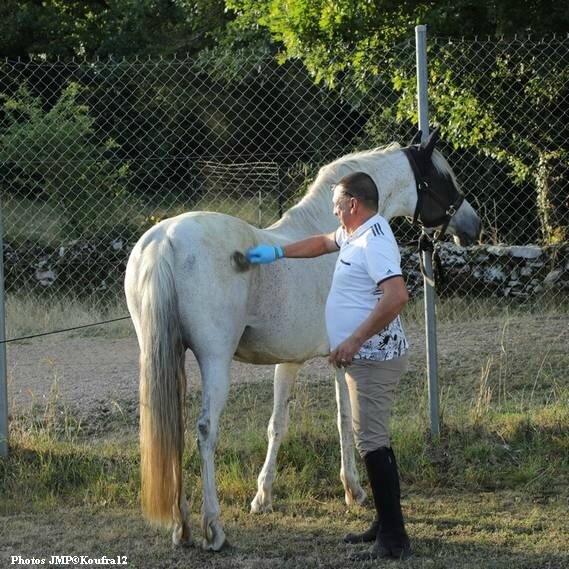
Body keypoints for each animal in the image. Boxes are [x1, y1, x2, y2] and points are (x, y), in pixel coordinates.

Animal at [124, 130, 480, 552]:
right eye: (441, 178)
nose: (473, 226)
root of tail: (166, 239)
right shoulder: (342, 357)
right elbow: (345, 420)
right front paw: (354, 490)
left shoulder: (288, 361)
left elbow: (277, 424)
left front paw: (262, 498)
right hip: (214, 361)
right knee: (206, 430)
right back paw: (213, 527)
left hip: (164, 357)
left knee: (172, 432)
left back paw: (181, 527)